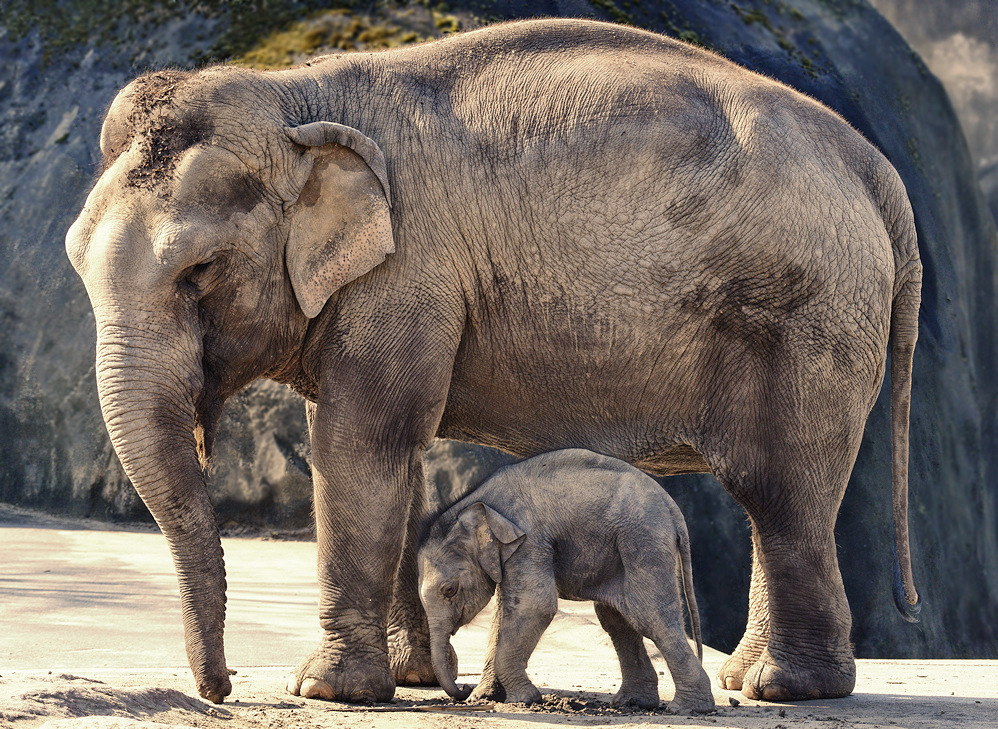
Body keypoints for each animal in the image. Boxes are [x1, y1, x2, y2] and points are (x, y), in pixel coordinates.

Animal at [418, 446, 716, 712]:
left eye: (449, 590)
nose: (463, 688)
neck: (476, 501)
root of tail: (673, 510)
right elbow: (507, 610)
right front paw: (500, 697)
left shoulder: (530, 539)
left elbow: (535, 606)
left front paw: (525, 700)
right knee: (616, 616)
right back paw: (634, 703)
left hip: (643, 540)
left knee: (648, 615)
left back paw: (687, 708)